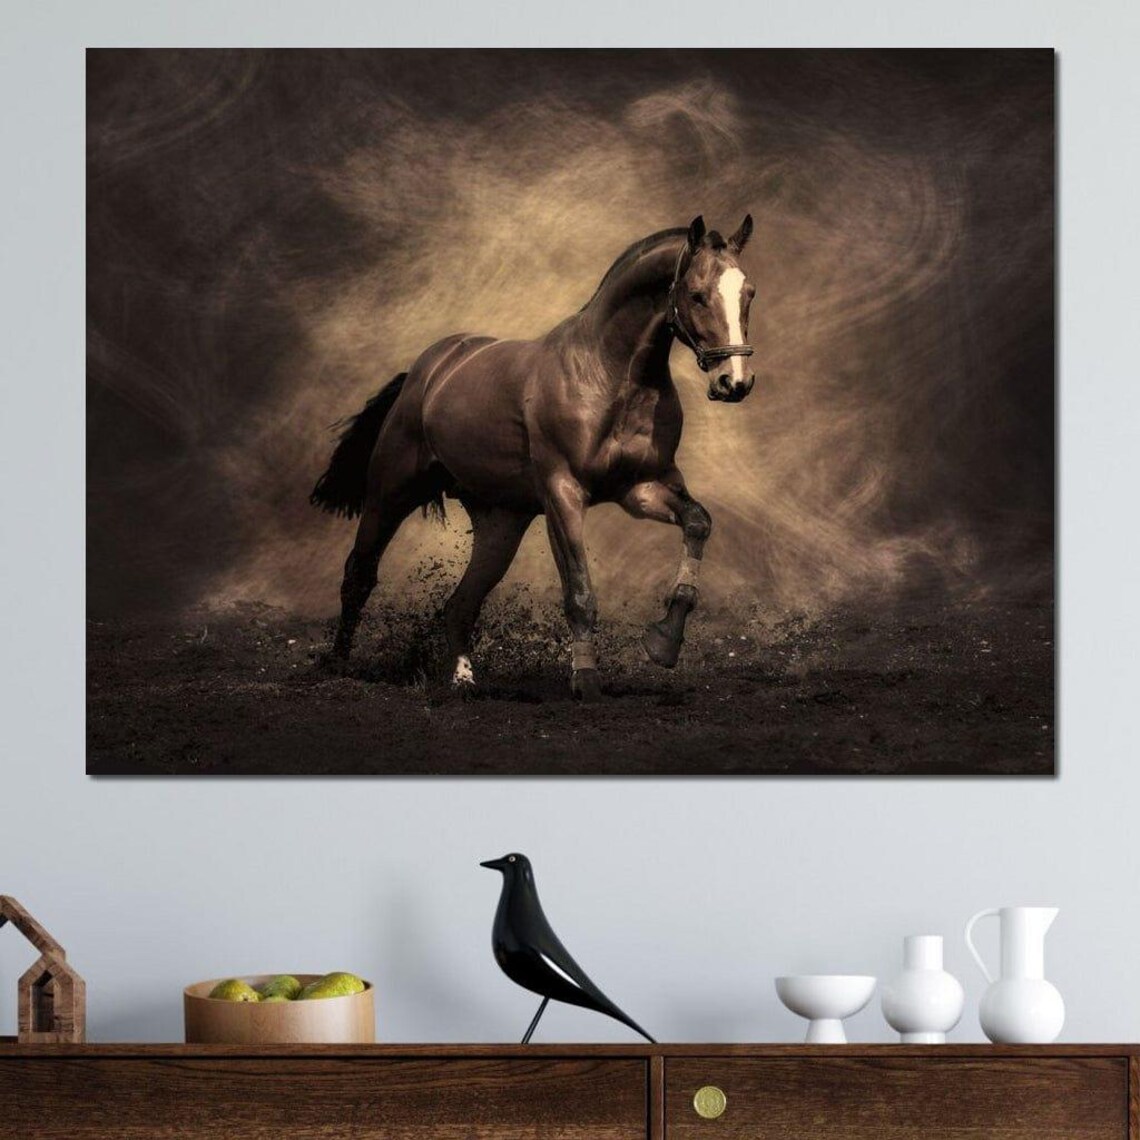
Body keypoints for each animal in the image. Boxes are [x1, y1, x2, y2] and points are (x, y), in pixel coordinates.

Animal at [310, 214, 757, 700]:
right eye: (696, 295)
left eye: (748, 293)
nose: (735, 382)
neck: (610, 376)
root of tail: (427, 372)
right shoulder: (563, 494)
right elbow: (579, 592)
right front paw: (586, 682)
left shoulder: (641, 488)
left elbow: (698, 523)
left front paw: (663, 643)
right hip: (391, 493)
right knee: (359, 575)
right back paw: (337, 664)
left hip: (501, 523)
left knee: (461, 603)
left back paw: (462, 680)